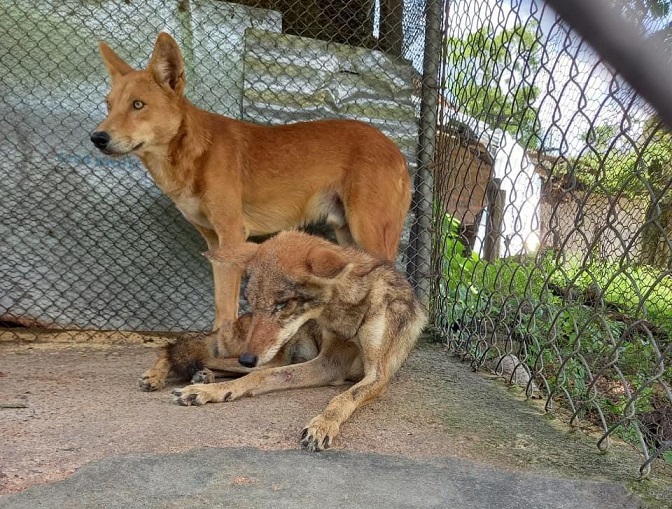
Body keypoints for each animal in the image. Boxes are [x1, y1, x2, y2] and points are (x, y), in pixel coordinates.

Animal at [92, 31, 412, 330]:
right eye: (109, 106)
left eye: (137, 105)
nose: (97, 138)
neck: (195, 153)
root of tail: (396, 150)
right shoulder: (216, 244)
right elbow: (221, 307)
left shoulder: (232, 234)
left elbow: (227, 308)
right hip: (349, 237)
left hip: (367, 231)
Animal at [172, 232, 426, 450]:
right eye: (252, 303)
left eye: (282, 304)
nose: (247, 359)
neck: (346, 313)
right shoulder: (327, 364)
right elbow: (258, 377)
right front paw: (215, 391)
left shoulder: (374, 375)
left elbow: (343, 397)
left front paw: (322, 425)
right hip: (277, 355)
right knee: (215, 360)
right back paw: (202, 381)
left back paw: (204, 376)